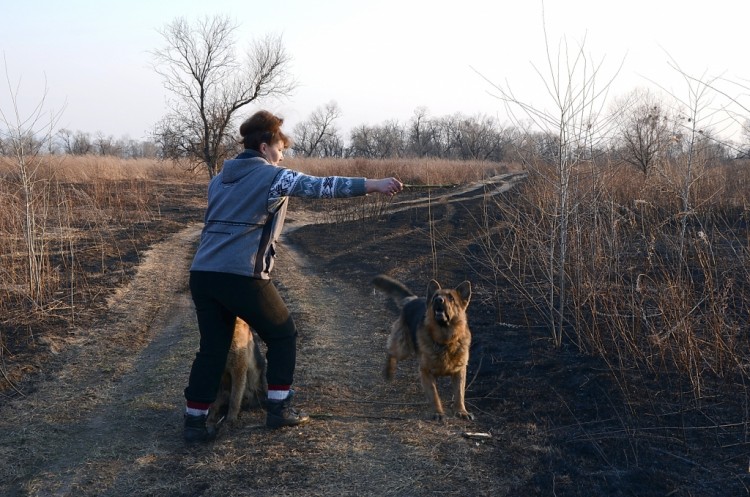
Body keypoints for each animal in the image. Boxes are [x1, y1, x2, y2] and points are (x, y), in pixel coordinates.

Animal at [374, 274, 472, 420]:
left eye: (451, 298)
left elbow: (459, 394)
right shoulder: (426, 372)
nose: (438, 300)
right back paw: (388, 371)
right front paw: (438, 412)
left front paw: (461, 411)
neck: (445, 340)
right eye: (436, 296)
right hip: (403, 348)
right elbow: (434, 395)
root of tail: (413, 299)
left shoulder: (459, 371)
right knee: (391, 351)